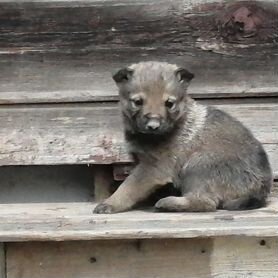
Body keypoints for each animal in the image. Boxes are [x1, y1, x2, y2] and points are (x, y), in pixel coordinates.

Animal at [94, 61, 272, 213]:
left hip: (197, 165)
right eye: (137, 102)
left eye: (169, 103)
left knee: (206, 202)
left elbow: (128, 186)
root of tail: (259, 190)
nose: (153, 125)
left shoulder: (152, 168)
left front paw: (110, 203)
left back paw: (168, 203)